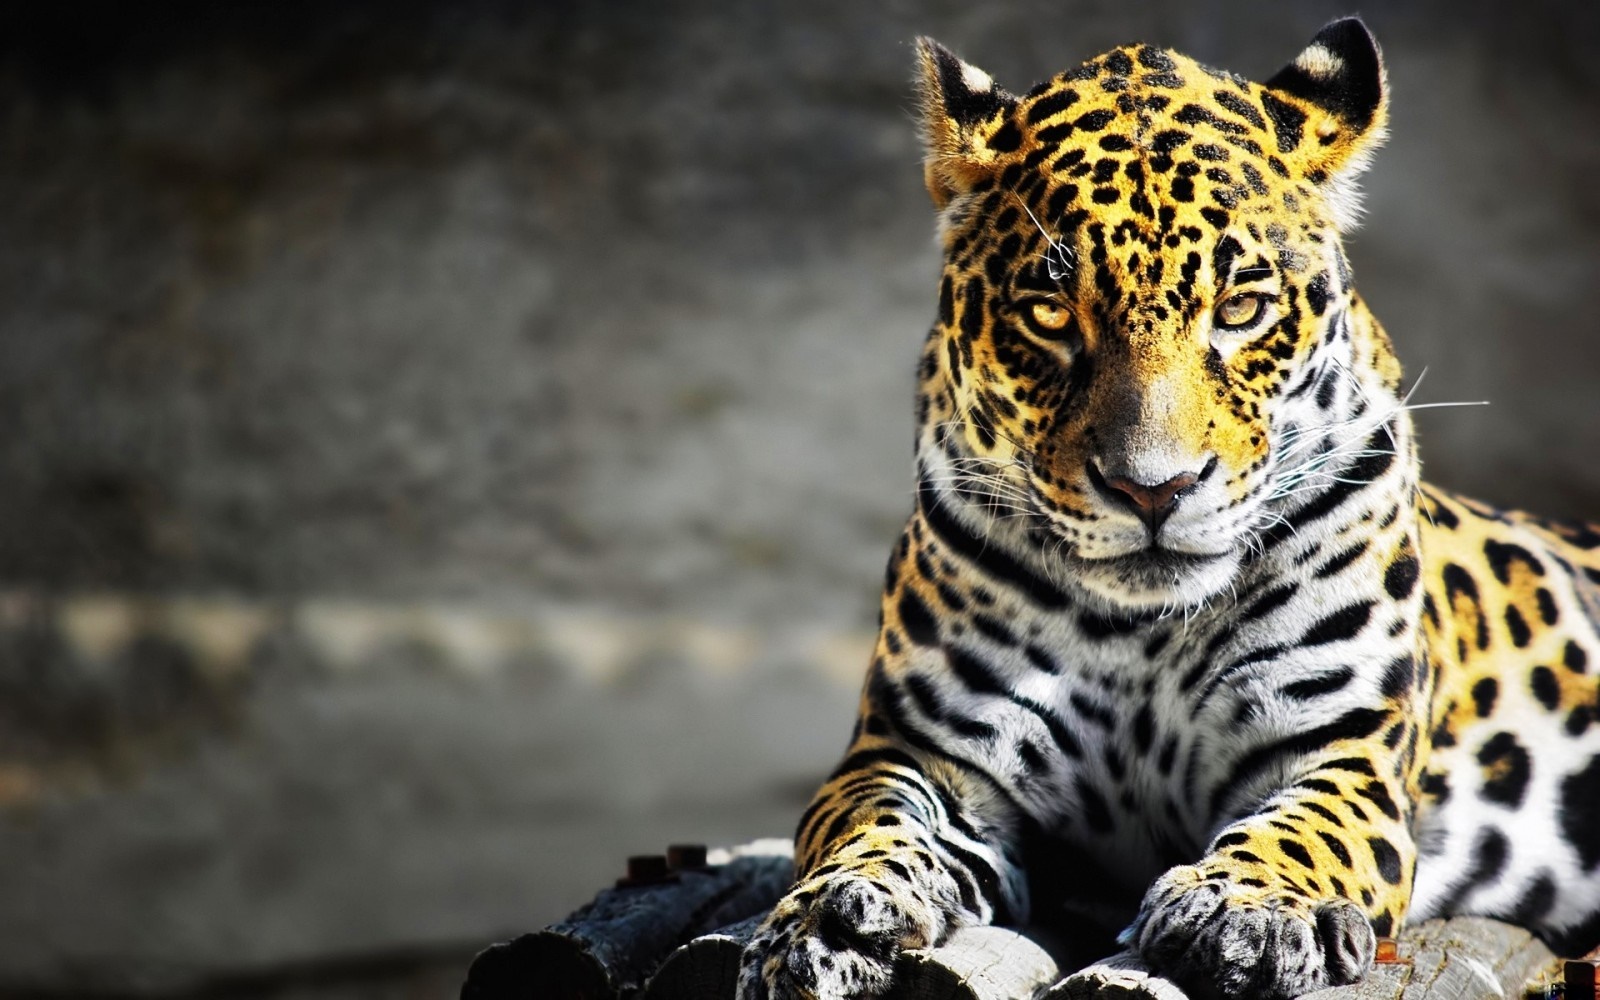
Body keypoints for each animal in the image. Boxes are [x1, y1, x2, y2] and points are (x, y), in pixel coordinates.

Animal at [734, 17, 1600, 1000]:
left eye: (1243, 307)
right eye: (1049, 315)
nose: (1153, 488)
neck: (1140, 636)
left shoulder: (1344, 747)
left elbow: (1304, 831)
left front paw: (1248, 910)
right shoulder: (919, 750)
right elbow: (862, 821)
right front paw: (825, 919)